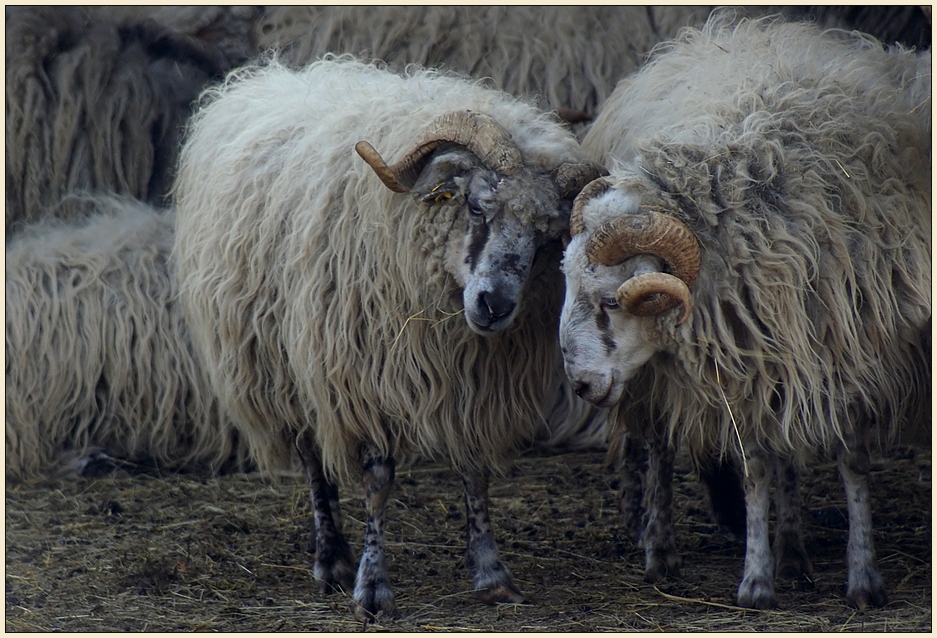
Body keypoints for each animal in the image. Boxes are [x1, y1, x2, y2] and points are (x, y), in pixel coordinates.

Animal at [171, 57, 604, 624]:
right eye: (476, 206)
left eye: (550, 237)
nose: (494, 305)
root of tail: (265, 74)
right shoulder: (363, 376)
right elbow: (378, 484)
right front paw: (372, 589)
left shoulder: (474, 382)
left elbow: (474, 473)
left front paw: (491, 574)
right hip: (282, 364)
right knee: (312, 460)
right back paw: (330, 559)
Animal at [556, 15, 928, 612]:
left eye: (612, 300)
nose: (581, 385)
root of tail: (708, 35)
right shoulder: (747, 364)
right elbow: (754, 465)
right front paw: (756, 580)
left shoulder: (844, 349)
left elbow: (851, 460)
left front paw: (863, 578)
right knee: (660, 446)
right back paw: (661, 552)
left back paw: (795, 551)